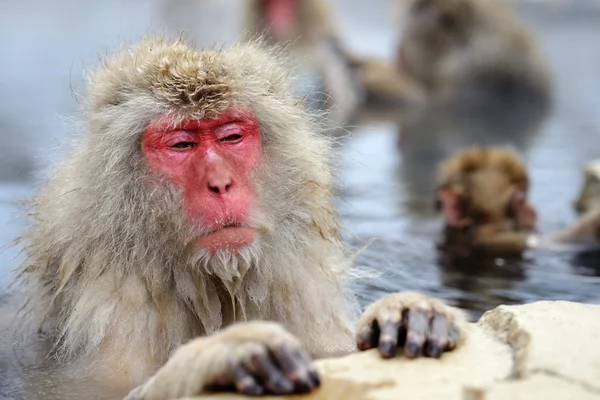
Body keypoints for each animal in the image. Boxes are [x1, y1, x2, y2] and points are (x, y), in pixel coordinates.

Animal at [0, 37, 466, 400]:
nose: (220, 184)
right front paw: (227, 351)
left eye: (231, 136)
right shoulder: (118, 302)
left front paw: (407, 312)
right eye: (182, 144)